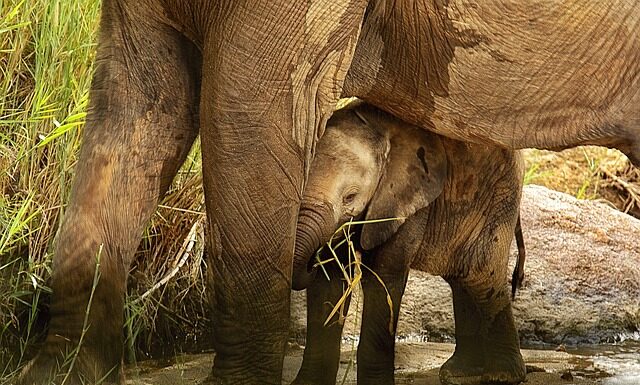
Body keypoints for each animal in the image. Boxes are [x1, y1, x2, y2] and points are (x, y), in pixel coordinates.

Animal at [292, 102, 528, 384]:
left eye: (350, 197)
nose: (309, 261)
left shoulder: (407, 199)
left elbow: (384, 277)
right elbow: (329, 283)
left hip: (501, 195)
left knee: (481, 276)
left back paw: (501, 376)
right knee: (463, 278)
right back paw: (459, 373)